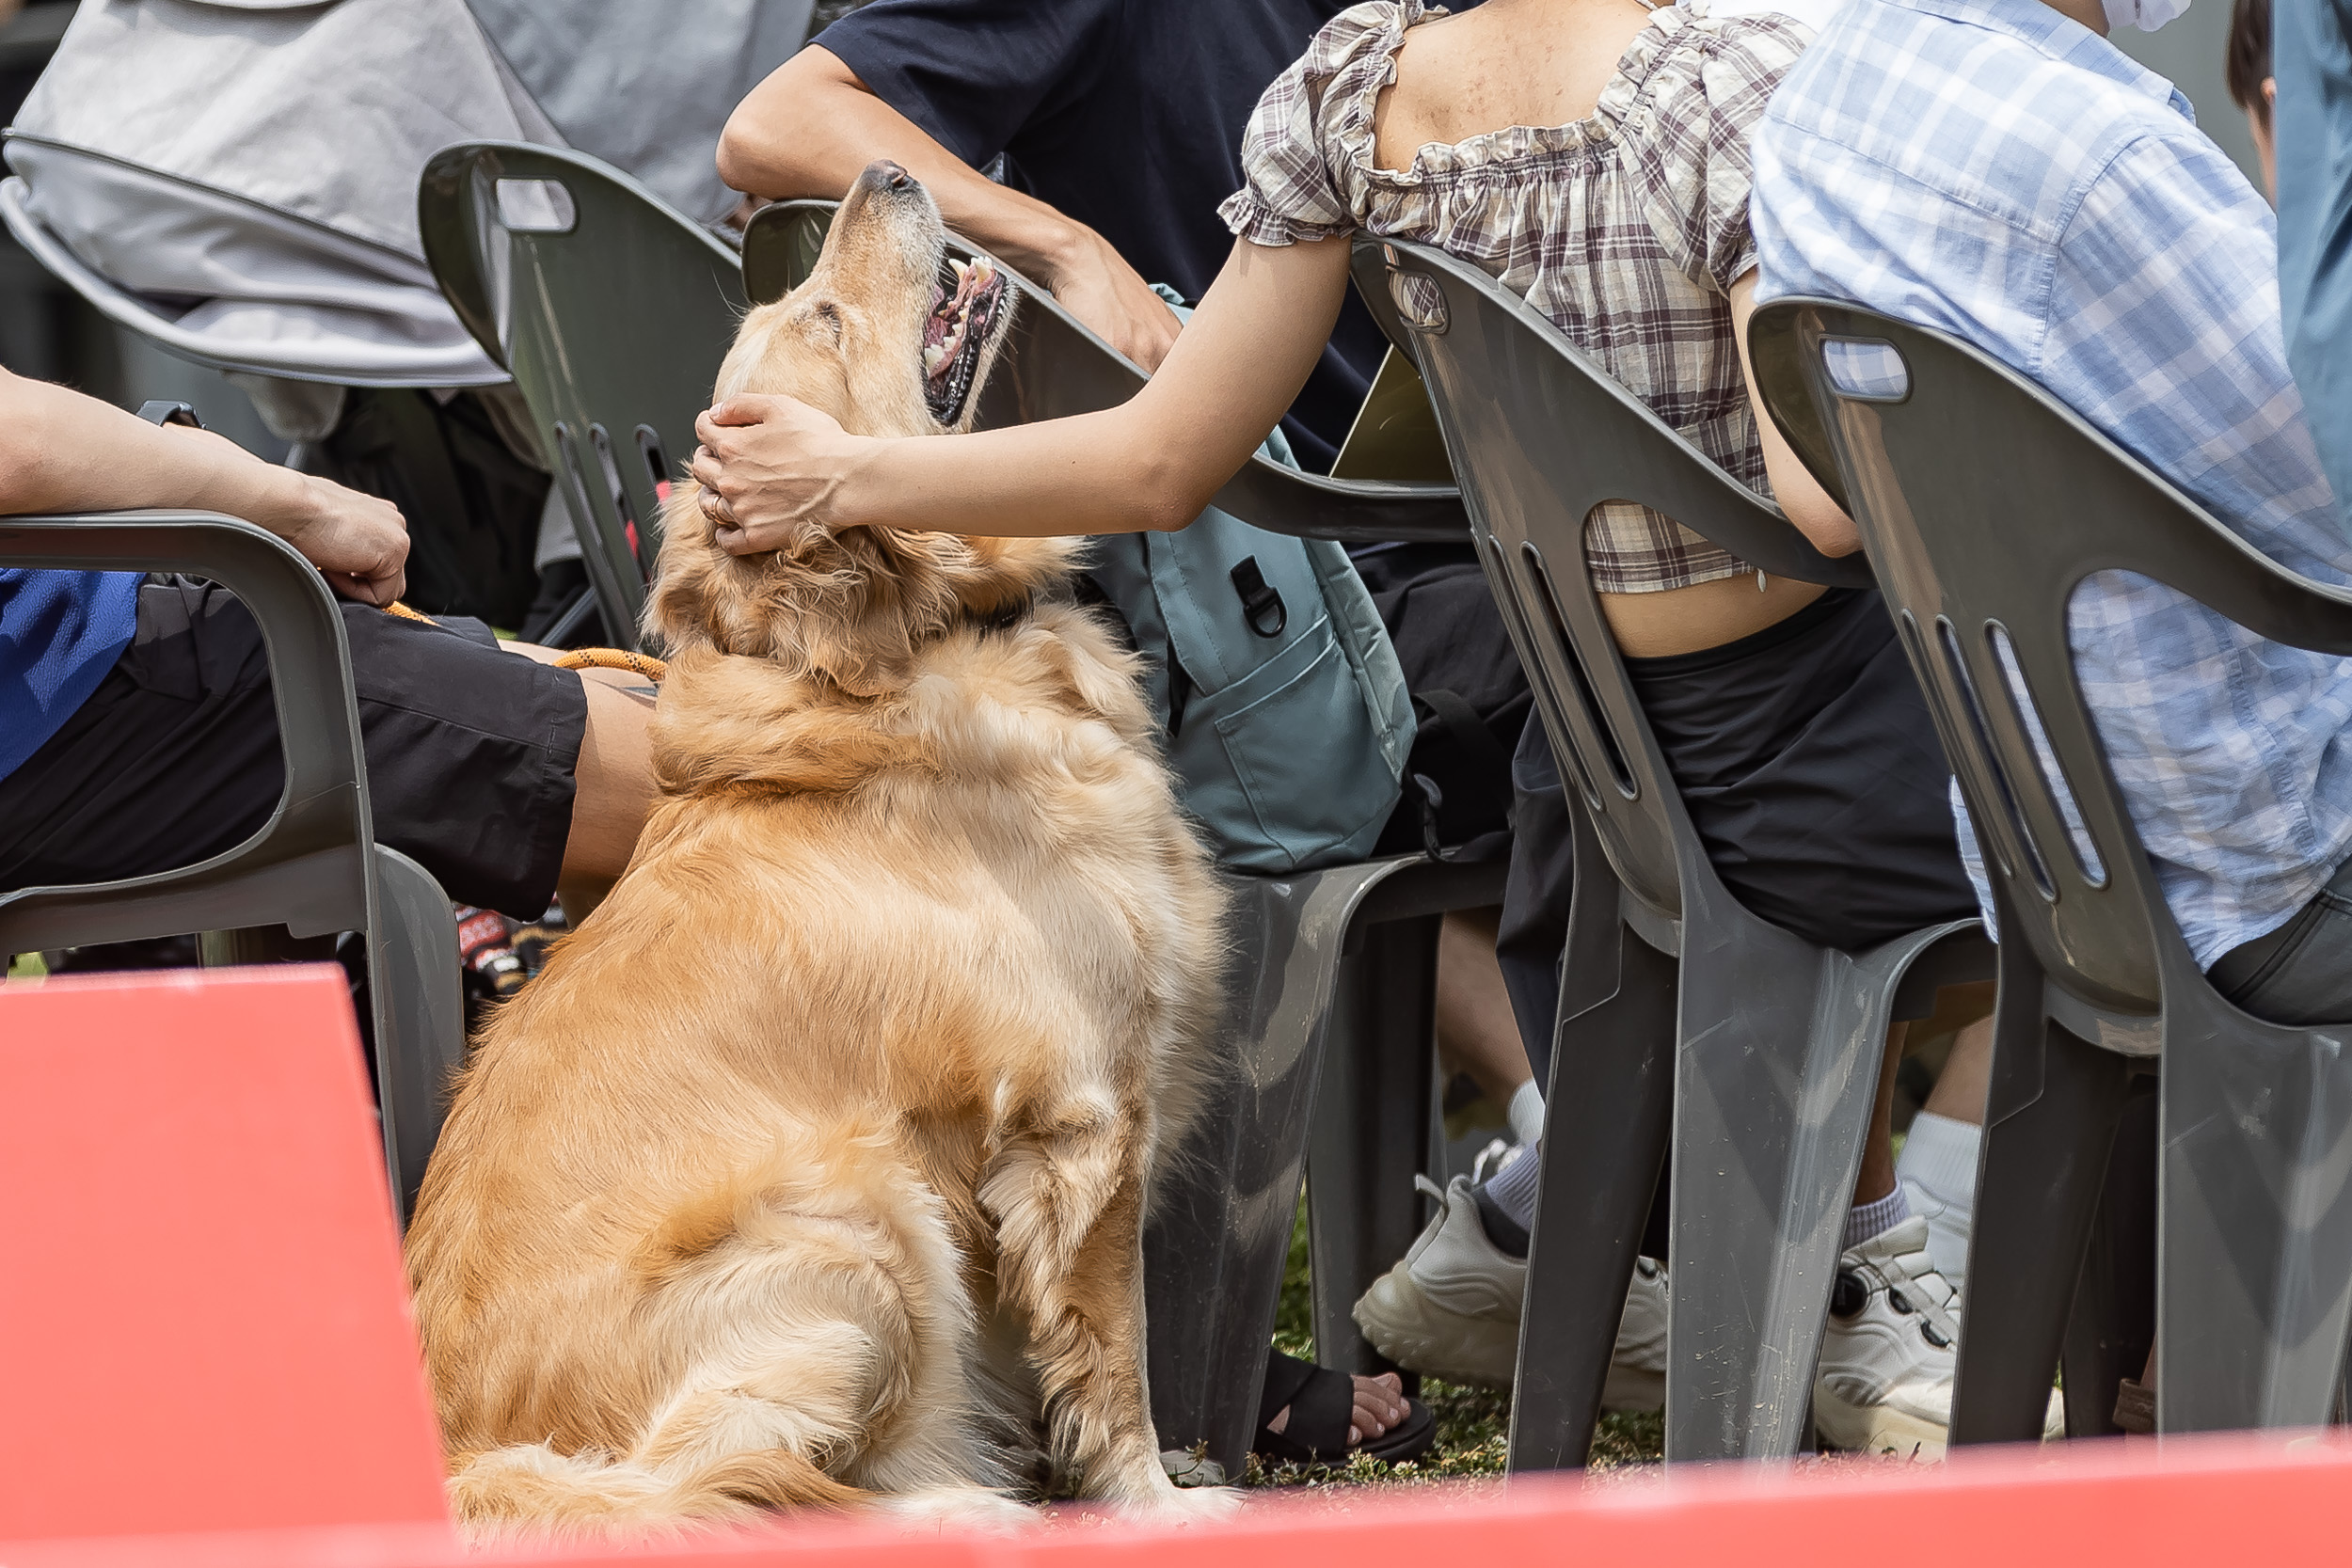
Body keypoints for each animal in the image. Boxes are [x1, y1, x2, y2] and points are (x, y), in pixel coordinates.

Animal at [409, 159, 1232, 1532]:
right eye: (828, 319)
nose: (886, 170)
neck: (924, 639)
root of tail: (468, 1460)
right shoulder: (1088, 1113)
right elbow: (1114, 1354)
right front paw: (1152, 1497)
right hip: (855, 1219)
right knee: (734, 1490)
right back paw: (966, 1511)